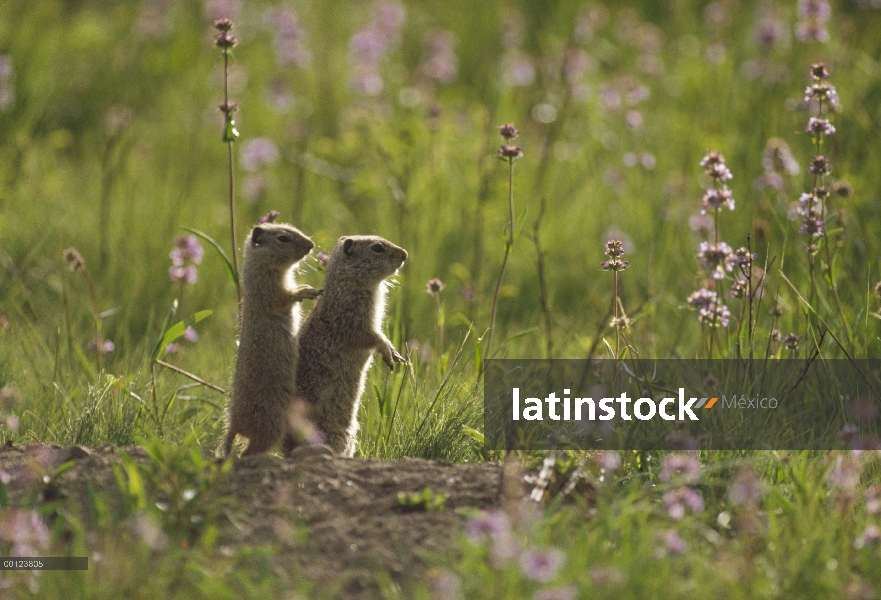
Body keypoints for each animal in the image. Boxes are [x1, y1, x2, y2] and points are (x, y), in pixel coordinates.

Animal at [218, 223, 322, 458]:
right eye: (283, 238)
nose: (311, 245)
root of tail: (235, 423)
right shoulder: (269, 288)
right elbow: (284, 297)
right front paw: (306, 291)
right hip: (271, 427)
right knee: (247, 453)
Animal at [286, 234, 410, 454]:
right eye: (377, 248)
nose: (405, 254)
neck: (349, 280)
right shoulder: (354, 320)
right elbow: (373, 337)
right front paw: (388, 353)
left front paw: (396, 355)